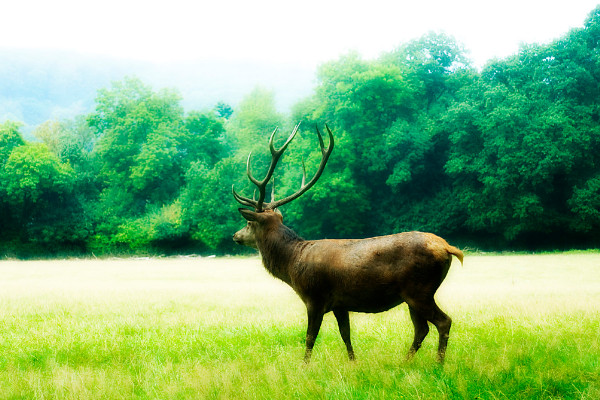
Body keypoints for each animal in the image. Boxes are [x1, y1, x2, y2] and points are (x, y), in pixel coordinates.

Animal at [231, 123, 464, 364]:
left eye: (248, 222)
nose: (235, 235)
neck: (292, 264)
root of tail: (447, 248)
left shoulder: (314, 298)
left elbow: (310, 338)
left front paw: (304, 366)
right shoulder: (340, 304)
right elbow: (346, 335)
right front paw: (353, 362)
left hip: (419, 289)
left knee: (443, 322)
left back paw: (438, 364)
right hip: (414, 295)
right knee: (421, 329)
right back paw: (405, 362)